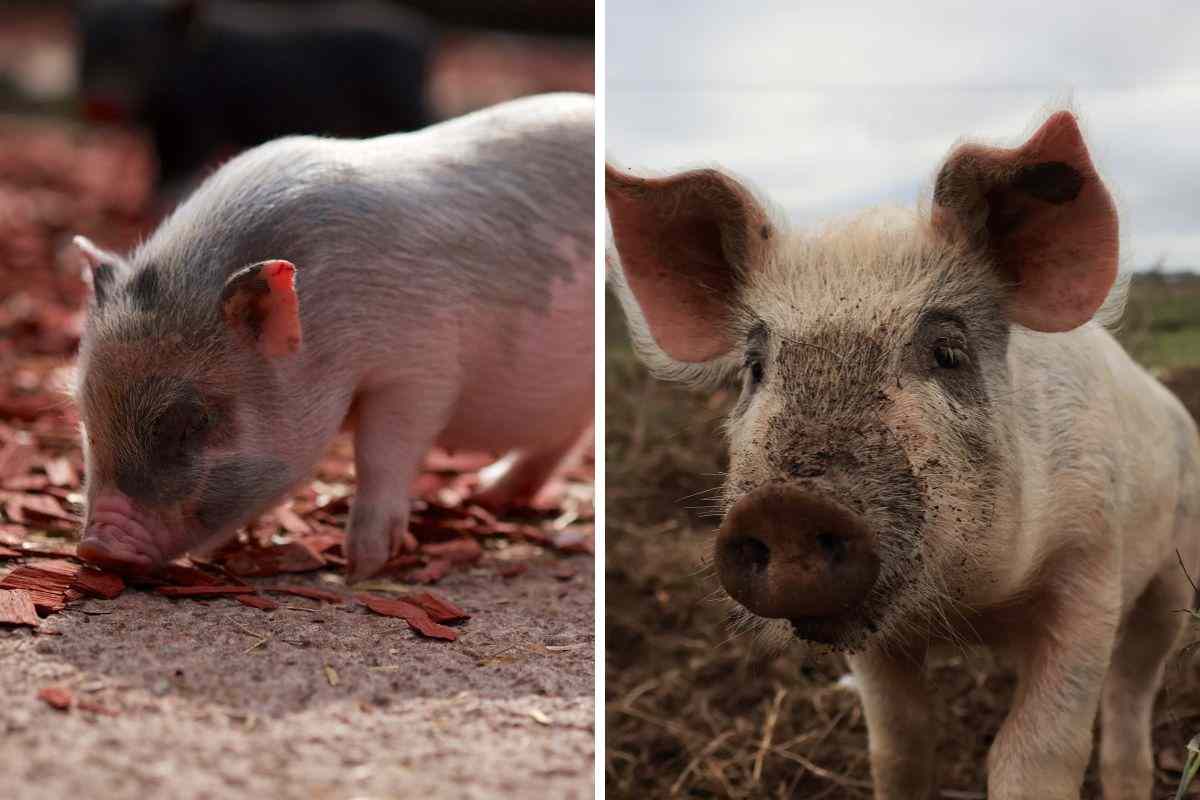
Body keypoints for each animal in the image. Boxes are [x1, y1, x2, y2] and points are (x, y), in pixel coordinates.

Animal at [72, 92, 594, 582]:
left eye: (194, 420)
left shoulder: (419, 368)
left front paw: (362, 566)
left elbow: (381, 453)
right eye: (85, 412)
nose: (97, 548)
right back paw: (489, 493)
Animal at [606, 110, 1200, 800]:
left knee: (1132, 691)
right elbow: (899, 745)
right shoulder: (873, 642)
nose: (786, 506)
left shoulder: (1090, 566)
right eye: (755, 367)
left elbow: (1033, 751)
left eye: (948, 353)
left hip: (1172, 576)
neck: (973, 608)